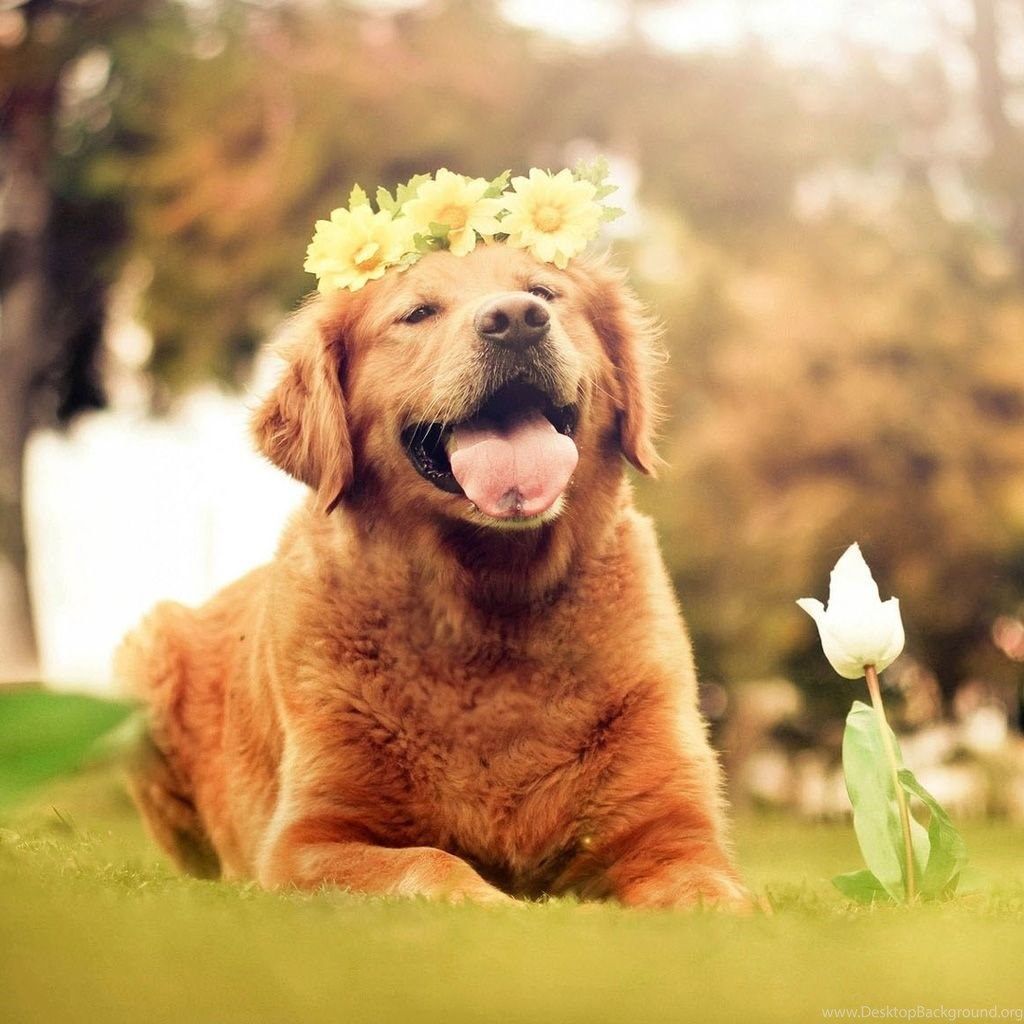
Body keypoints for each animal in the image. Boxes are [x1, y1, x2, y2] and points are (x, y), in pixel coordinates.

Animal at [117, 243, 745, 909]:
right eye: (417, 312)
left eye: (543, 293)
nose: (516, 321)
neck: (489, 604)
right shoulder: (307, 841)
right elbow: (427, 862)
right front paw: (494, 905)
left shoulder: (672, 829)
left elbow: (707, 887)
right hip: (146, 654)